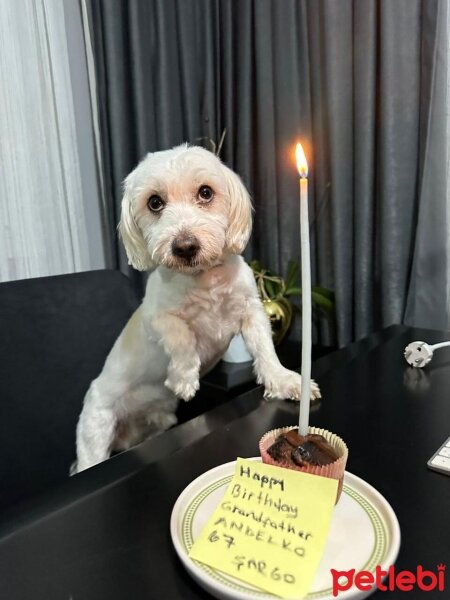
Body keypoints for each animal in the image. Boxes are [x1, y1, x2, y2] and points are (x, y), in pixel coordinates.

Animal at [73, 145, 320, 474]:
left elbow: (265, 350)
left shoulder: (251, 312)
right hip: (96, 430)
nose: (185, 246)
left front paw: (285, 381)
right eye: (154, 202)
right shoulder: (155, 319)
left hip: (159, 421)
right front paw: (183, 378)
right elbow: (182, 334)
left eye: (206, 192)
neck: (204, 279)